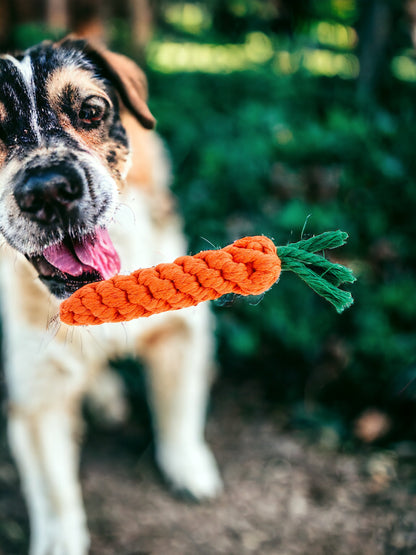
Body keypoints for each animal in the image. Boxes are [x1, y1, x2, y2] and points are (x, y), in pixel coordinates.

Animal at [0, 37, 223, 552]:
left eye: (92, 110)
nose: (51, 189)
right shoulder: (34, 396)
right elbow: (55, 494)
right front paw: (60, 543)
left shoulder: (185, 327)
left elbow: (180, 408)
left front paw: (189, 468)